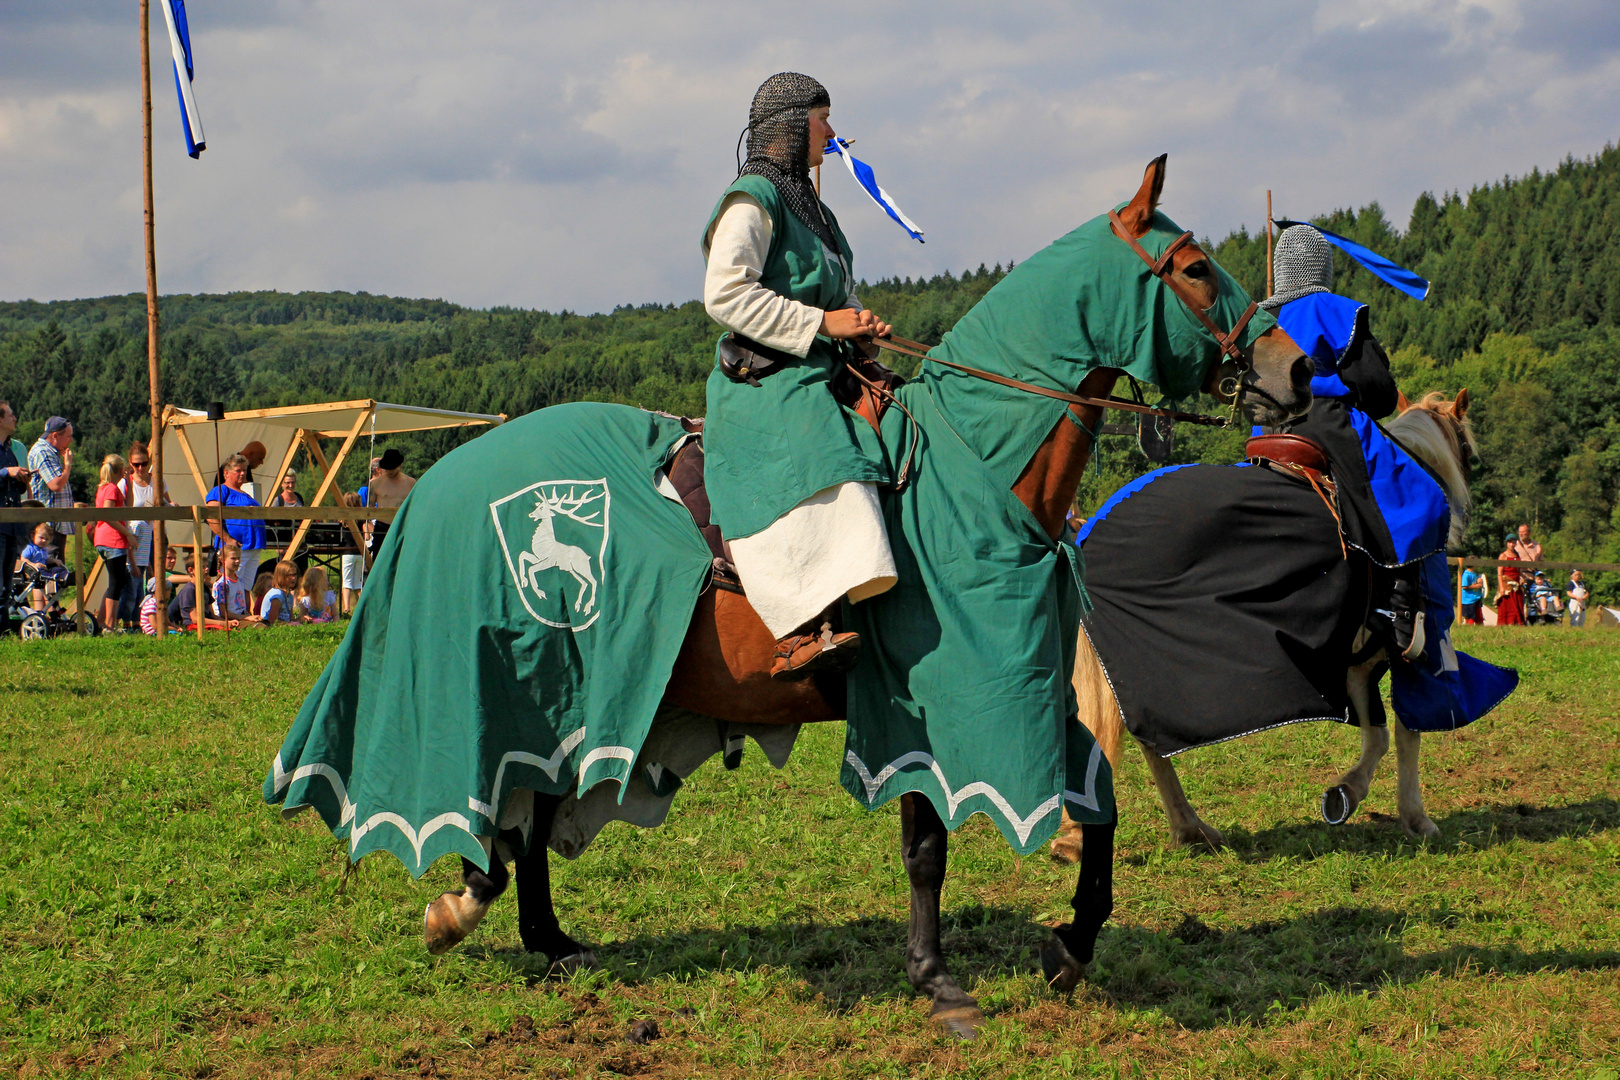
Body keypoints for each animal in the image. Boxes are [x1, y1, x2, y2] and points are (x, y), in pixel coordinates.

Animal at [414, 158, 1315, 1036]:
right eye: (1195, 268)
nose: (1296, 369)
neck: (978, 468)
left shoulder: (1023, 686)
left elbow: (1101, 810)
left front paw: (1072, 943)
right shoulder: (925, 705)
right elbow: (927, 848)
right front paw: (939, 982)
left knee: (529, 807)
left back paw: (536, 934)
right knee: (518, 804)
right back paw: (487, 915)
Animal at [1049, 390, 1483, 861]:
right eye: (1467, 450)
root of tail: (1086, 531)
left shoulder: (1357, 666)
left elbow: (1379, 734)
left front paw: (1351, 795)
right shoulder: (1413, 656)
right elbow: (1405, 734)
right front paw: (1409, 814)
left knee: (1143, 738)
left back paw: (1182, 828)